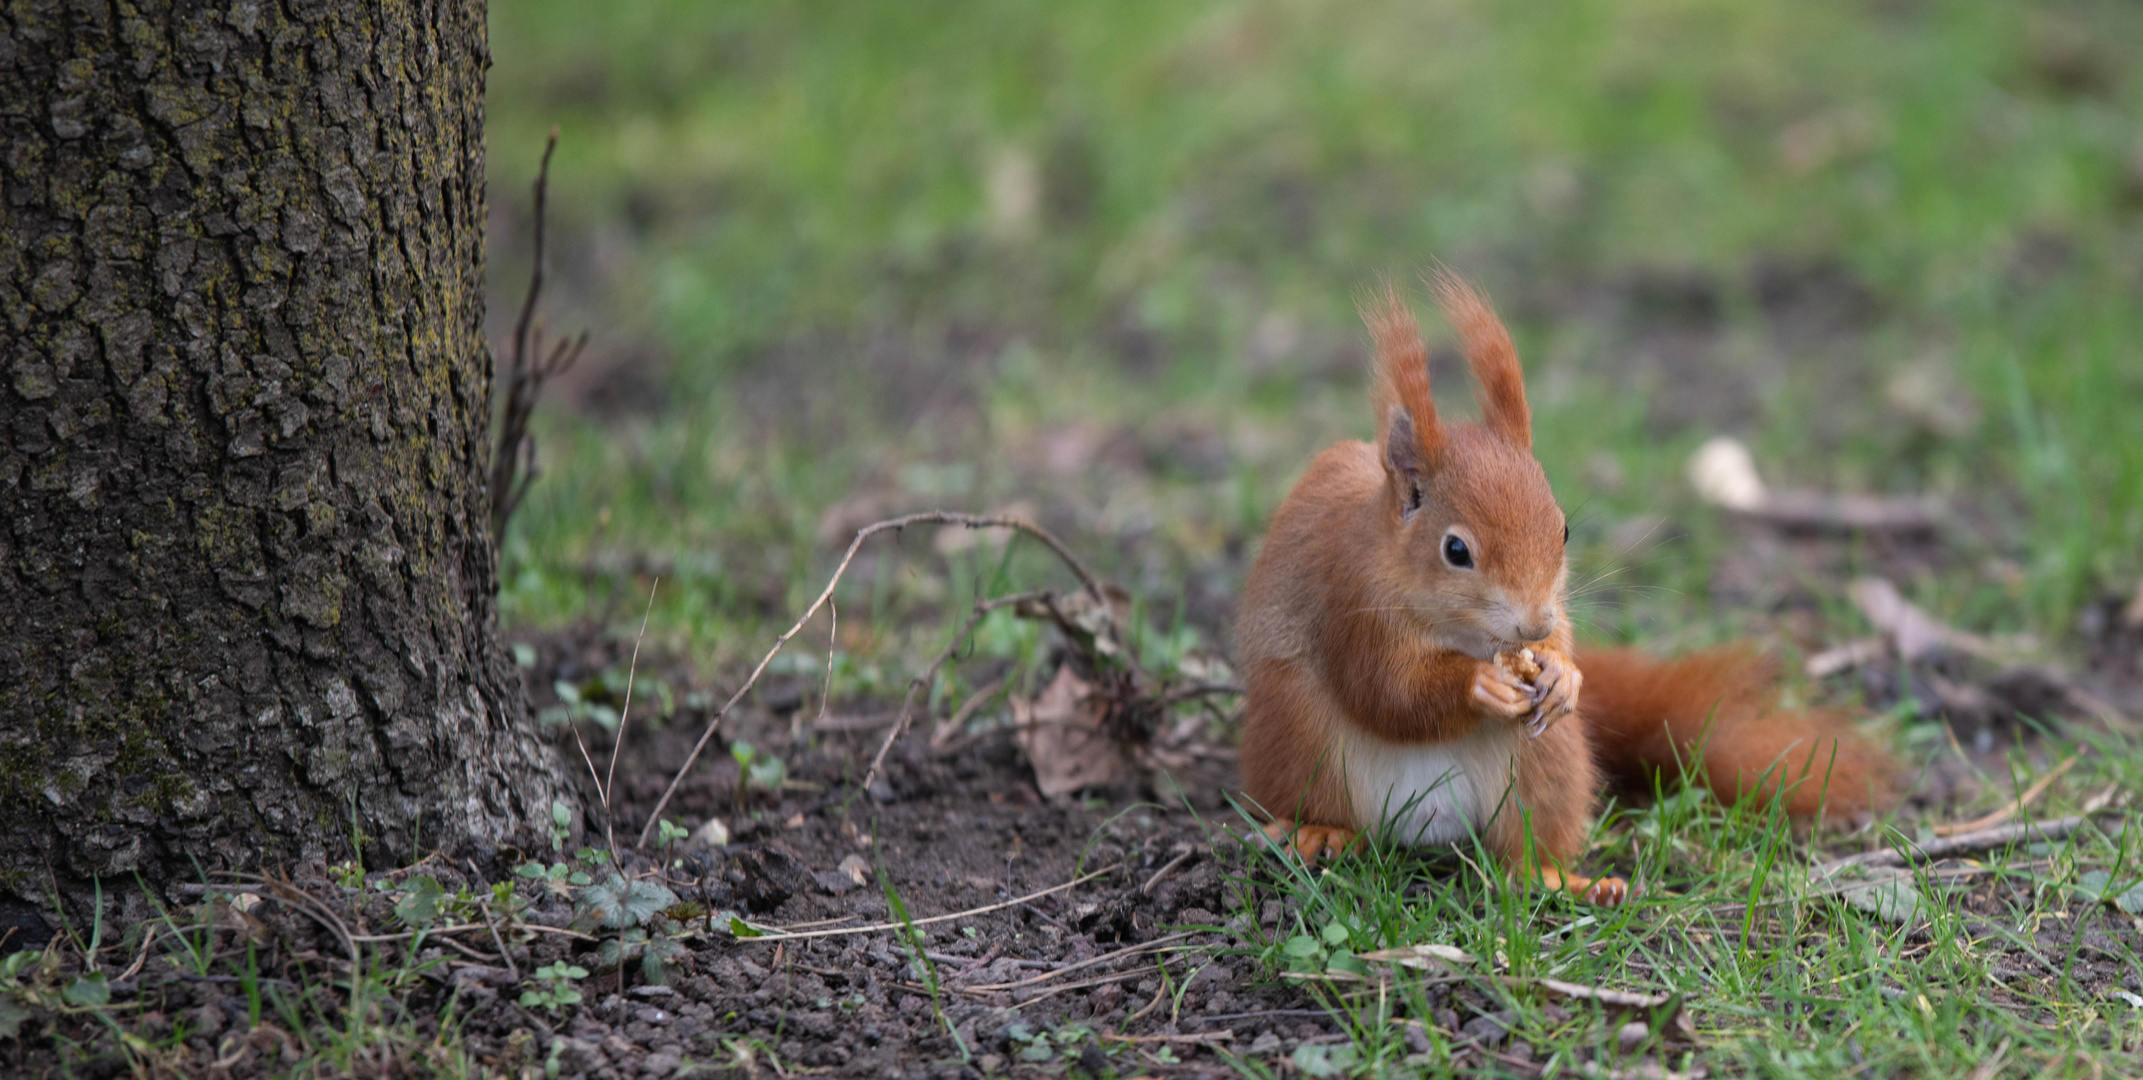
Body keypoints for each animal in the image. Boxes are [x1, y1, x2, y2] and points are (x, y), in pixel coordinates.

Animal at [1242, 270, 1894, 904]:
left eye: (1563, 528)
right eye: (1456, 551)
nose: (1535, 625)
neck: (1462, 632)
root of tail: (1424, 829)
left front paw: (1563, 671)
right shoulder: (1349, 595)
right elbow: (1384, 688)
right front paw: (1478, 683)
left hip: (1547, 762)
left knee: (1524, 850)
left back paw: (1565, 879)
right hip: (1301, 739)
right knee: (1324, 795)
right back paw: (1321, 831)